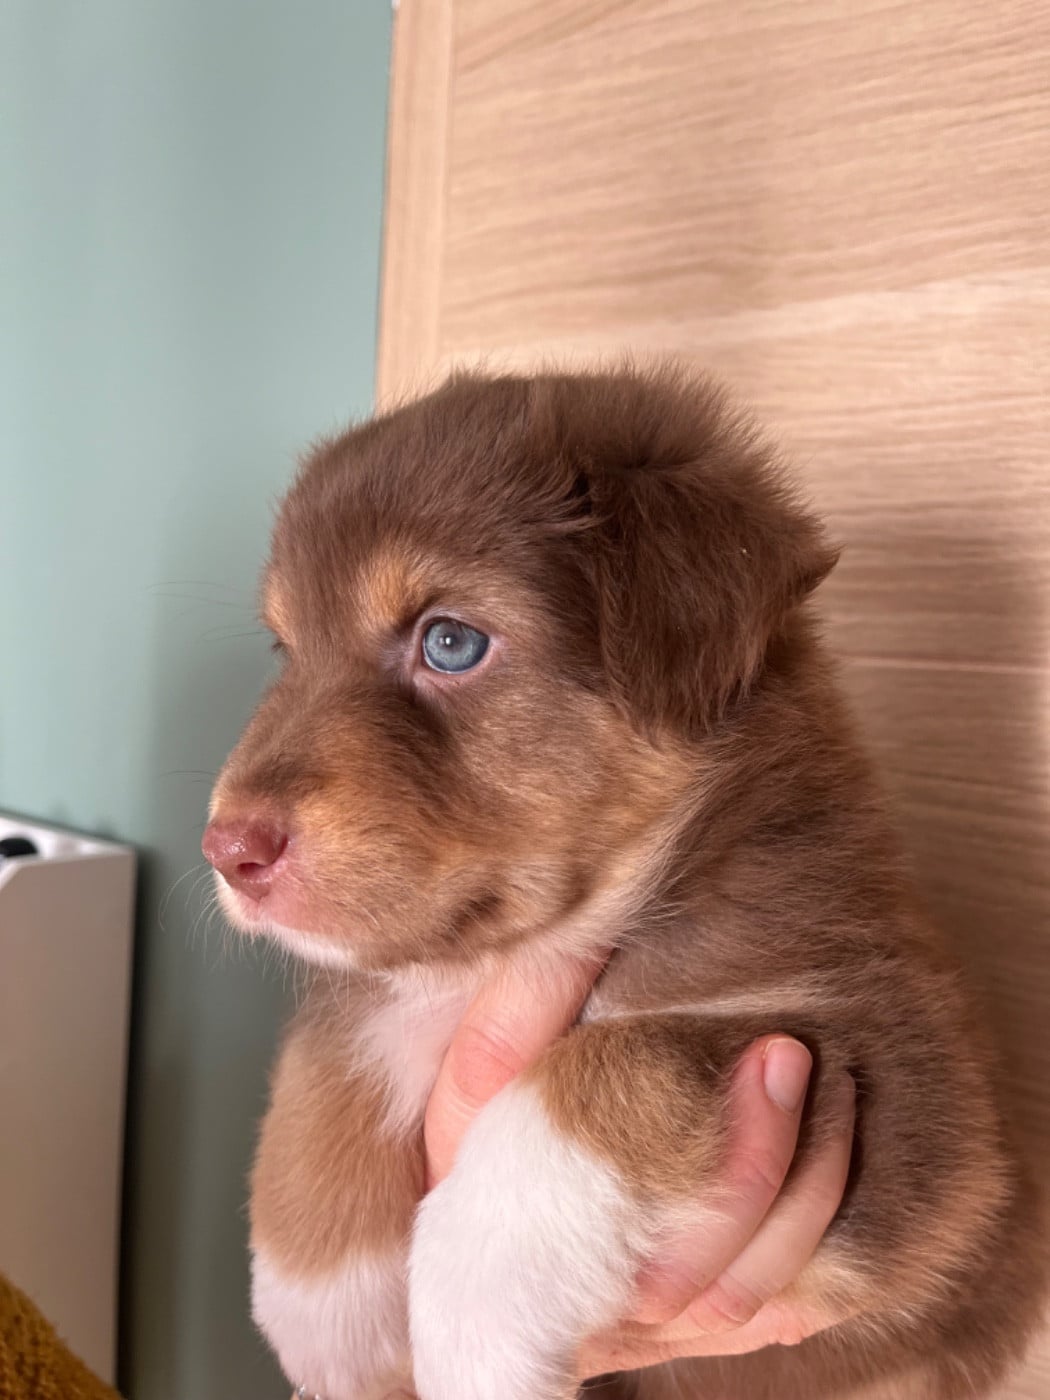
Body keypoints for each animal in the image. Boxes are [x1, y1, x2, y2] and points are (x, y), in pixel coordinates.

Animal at [203, 365, 1044, 1400]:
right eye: (287, 650)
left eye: (450, 643)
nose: (227, 848)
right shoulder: (385, 992)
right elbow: (330, 1061)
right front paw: (318, 1307)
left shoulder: (902, 1079)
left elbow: (611, 1063)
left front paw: (473, 1327)